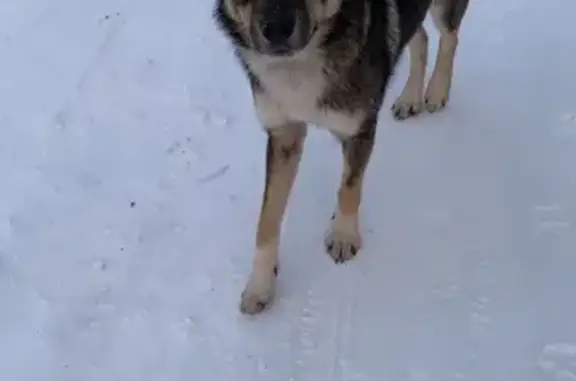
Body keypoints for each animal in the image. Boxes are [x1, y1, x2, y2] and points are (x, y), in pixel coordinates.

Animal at [214, 0, 470, 314]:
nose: (277, 29)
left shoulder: (359, 130)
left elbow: (349, 188)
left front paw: (344, 236)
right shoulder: (284, 135)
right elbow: (267, 218)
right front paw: (259, 286)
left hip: (444, 9)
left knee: (449, 36)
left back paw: (436, 91)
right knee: (419, 37)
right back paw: (410, 98)